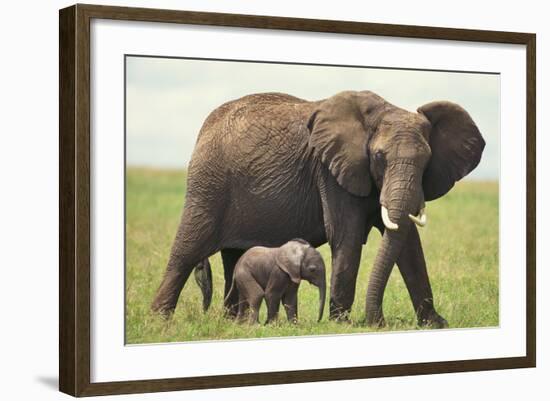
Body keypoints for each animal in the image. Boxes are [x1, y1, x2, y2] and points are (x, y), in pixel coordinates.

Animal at [152, 90, 488, 324]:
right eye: (379, 157)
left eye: (427, 160)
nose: (377, 320)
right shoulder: (330, 171)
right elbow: (346, 236)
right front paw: (343, 324)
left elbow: (408, 246)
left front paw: (436, 324)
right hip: (208, 184)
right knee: (186, 251)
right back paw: (160, 322)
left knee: (234, 257)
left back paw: (233, 322)